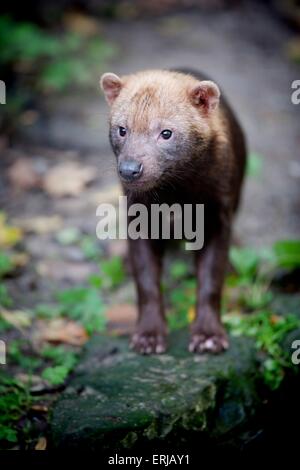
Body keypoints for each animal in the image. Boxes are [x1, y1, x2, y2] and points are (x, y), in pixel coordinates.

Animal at [101, 68, 246, 354]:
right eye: (121, 129)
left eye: (166, 132)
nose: (130, 169)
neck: (178, 200)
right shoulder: (139, 217)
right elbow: (146, 278)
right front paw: (148, 336)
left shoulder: (217, 214)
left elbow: (212, 277)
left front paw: (208, 336)